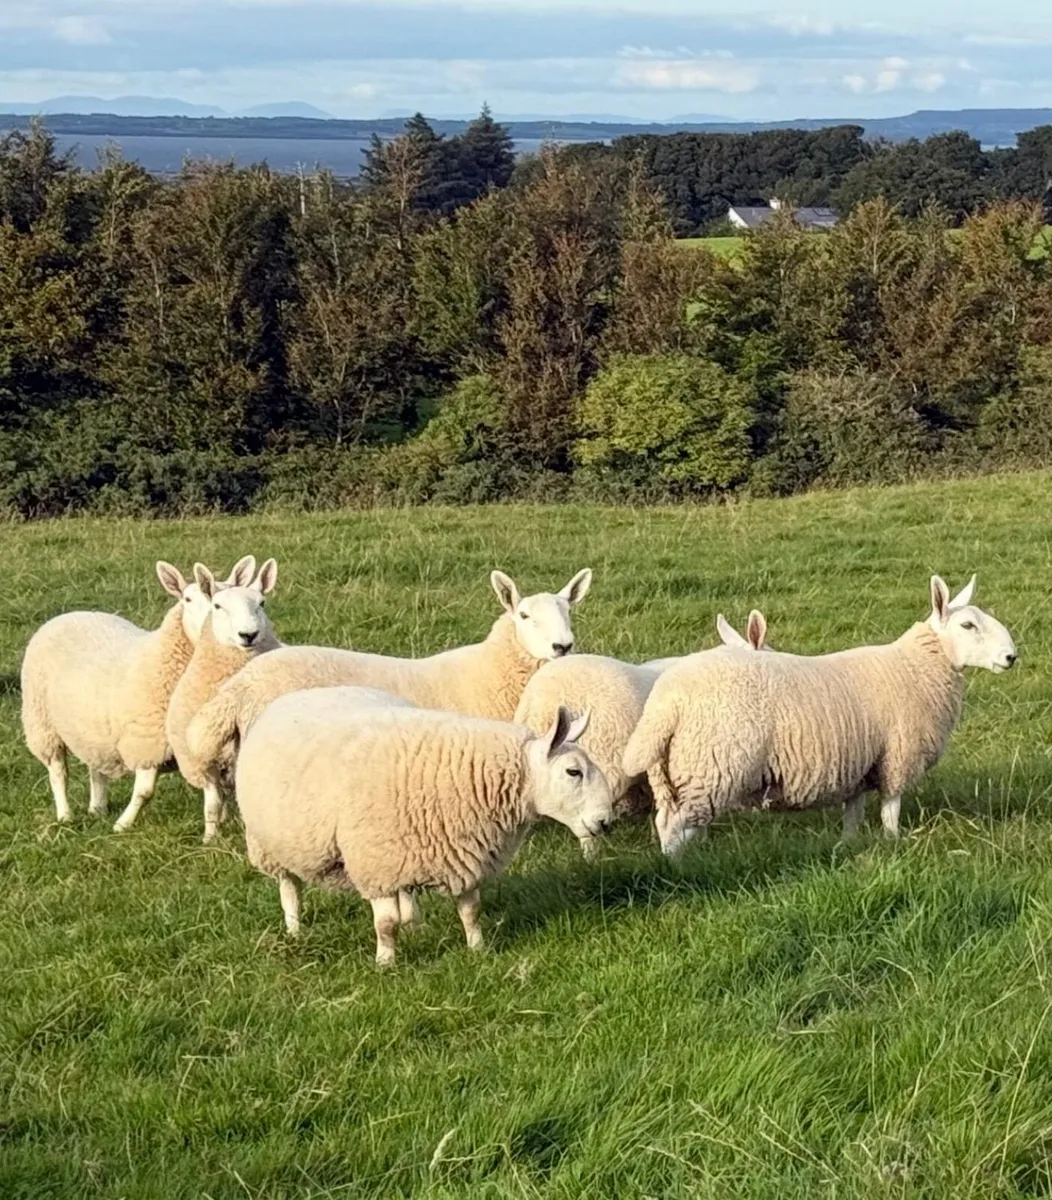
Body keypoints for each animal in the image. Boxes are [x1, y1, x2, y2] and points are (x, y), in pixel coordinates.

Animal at [21, 556, 257, 824]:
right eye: (187, 599)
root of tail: (69, 614)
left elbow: (219, 790)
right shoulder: (147, 741)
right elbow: (145, 791)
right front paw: (123, 824)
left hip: (93, 730)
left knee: (96, 768)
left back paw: (97, 808)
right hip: (42, 722)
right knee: (58, 771)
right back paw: (65, 815)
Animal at [113, 559, 280, 840]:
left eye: (262, 603)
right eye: (218, 605)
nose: (248, 635)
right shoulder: (199, 759)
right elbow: (211, 804)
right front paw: (210, 838)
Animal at [235, 689, 614, 965]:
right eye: (573, 771)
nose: (605, 821)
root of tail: (294, 695)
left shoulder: (463, 854)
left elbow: (470, 911)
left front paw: (478, 950)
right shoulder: (376, 863)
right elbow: (385, 924)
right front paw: (386, 964)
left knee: (406, 894)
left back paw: (414, 923)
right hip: (272, 843)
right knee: (289, 886)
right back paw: (295, 928)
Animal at [623, 576, 1017, 857]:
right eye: (967, 626)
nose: (1011, 656)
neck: (915, 666)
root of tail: (667, 703)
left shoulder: (860, 763)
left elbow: (854, 813)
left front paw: (849, 844)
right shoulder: (897, 756)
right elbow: (890, 810)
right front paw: (894, 842)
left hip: (671, 772)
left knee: (670, 820)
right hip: (710, 765)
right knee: (674, 826)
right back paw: (678, 866)